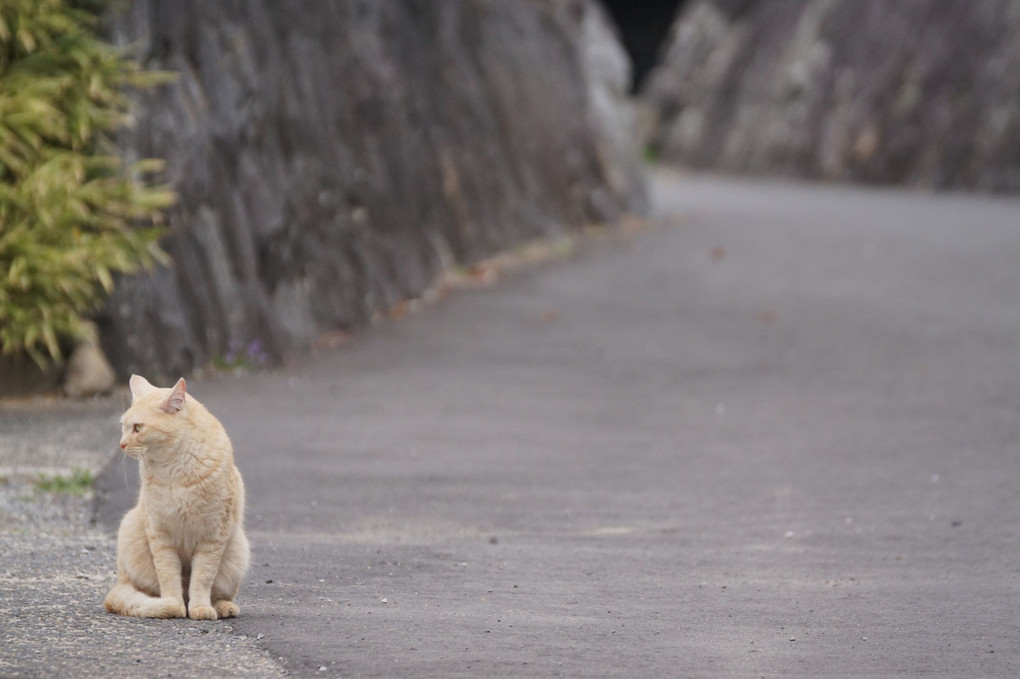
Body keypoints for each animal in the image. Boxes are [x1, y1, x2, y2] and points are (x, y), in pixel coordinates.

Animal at [104, 375, 248, 619]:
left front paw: (200, 608)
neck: (175, 470)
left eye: (138, 427)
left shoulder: (213, 537)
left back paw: (223, 607)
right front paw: (174, 605)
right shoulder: (160, 535)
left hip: (237, 550)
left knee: (218, 593)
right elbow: (168, 577)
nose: (121, 444)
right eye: (123, 427)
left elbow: (202, 578)